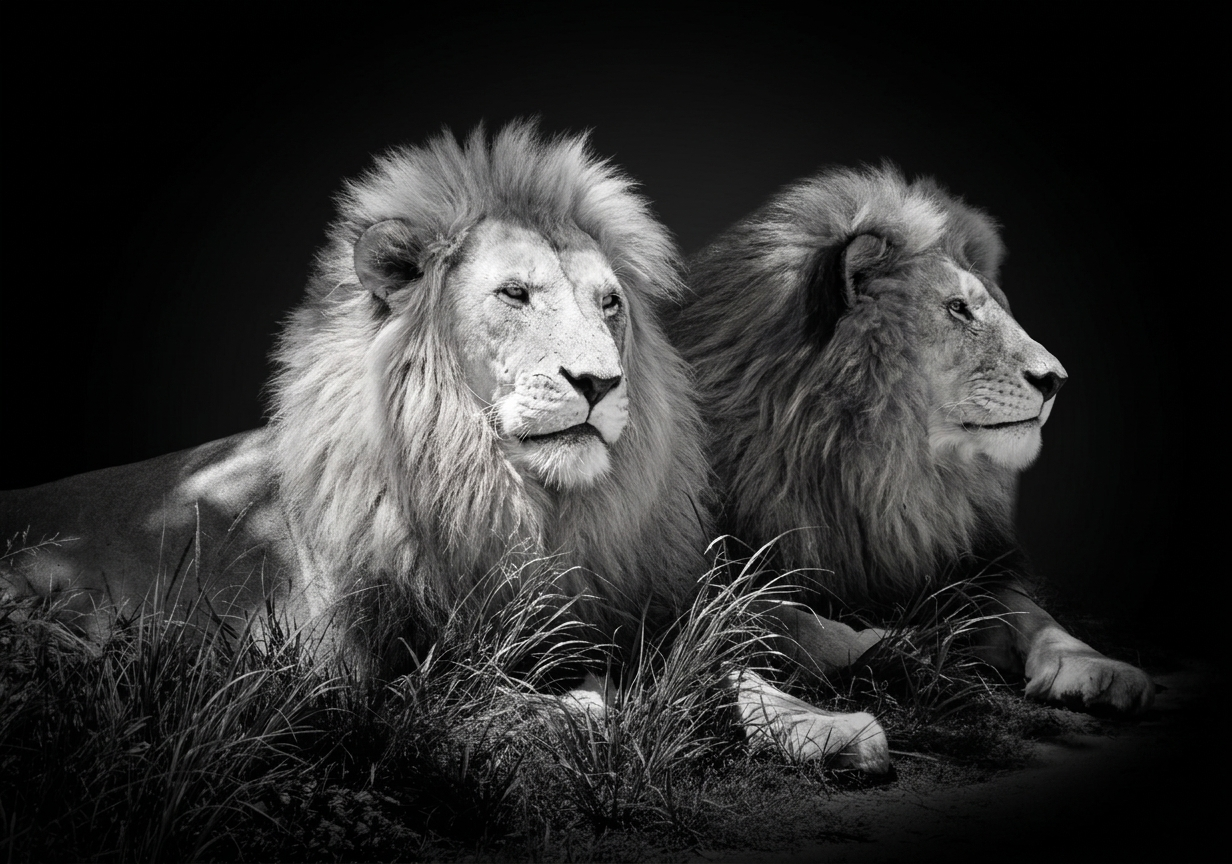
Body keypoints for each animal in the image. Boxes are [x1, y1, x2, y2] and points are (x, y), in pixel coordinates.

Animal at [0, 123, 889, 772]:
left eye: (609, 303)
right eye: (515, 293)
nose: (599, 382)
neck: (517, 497)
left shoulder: (628, 599)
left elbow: (738, 649)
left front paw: (829, 715)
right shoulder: (319, 677)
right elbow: (456, 694)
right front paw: (589, 707)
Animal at [672, 164, 1154, 716]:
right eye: (958, 308)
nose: (1056, 379)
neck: (882, 468)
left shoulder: (955, 564)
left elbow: (1033, 614)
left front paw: (1097, 667)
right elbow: (778, 615)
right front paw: (898, 648)